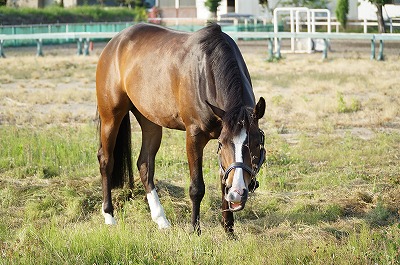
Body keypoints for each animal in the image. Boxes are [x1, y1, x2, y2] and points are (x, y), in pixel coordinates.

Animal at [96, 22, 266, 233]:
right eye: (224, 144)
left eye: (257, 144)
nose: (237, 193)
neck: (207, 71)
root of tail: (115, 43)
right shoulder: (194, 136)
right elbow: (197, 187)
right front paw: (195, 230)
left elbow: (223, 181)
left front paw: (229, 230)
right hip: (111, 117)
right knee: (106, 160)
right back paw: (109, 216)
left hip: (150, 121)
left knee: (145, 165)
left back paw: (161, 219)